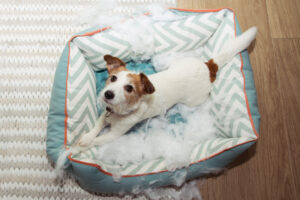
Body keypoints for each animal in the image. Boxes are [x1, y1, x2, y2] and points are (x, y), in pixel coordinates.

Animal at [76, 26, 256, 149]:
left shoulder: (114, 135)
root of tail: (209, 66)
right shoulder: (105, 114)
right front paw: (86, 137)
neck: (118, 112)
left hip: (193, 100)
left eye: (129, 88)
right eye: (113, 78)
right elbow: (97, 127)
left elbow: (98, 140)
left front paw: (79, 148)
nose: (108, 94)